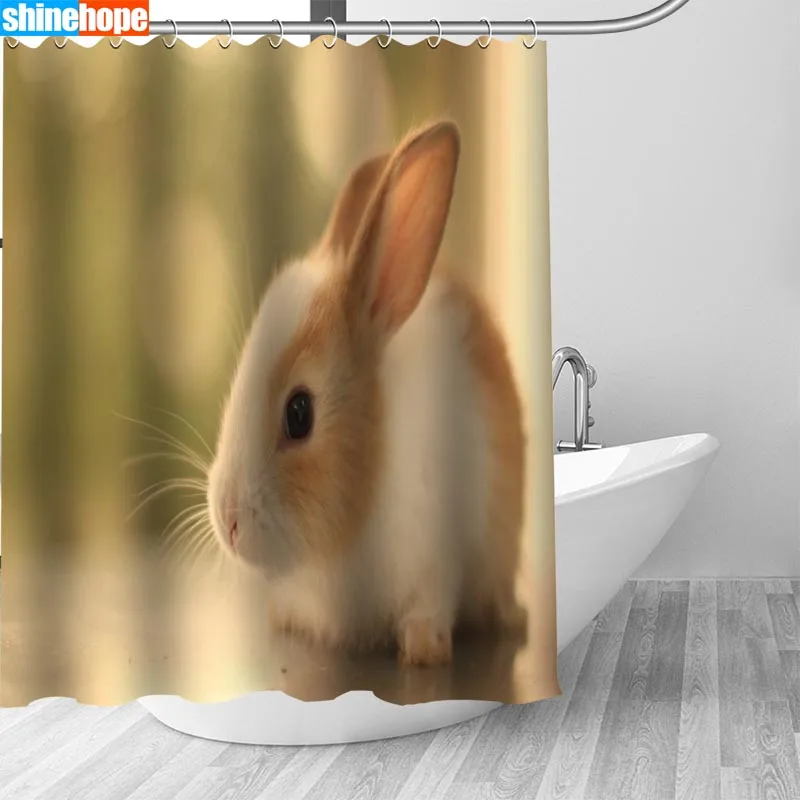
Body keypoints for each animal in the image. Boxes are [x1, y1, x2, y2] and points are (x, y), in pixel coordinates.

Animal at [206, 120, 527, 667]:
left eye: (299, 413)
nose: (228, 518)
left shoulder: (440, 554)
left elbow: (434, 599)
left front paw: (424, 648)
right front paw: (287, 616)